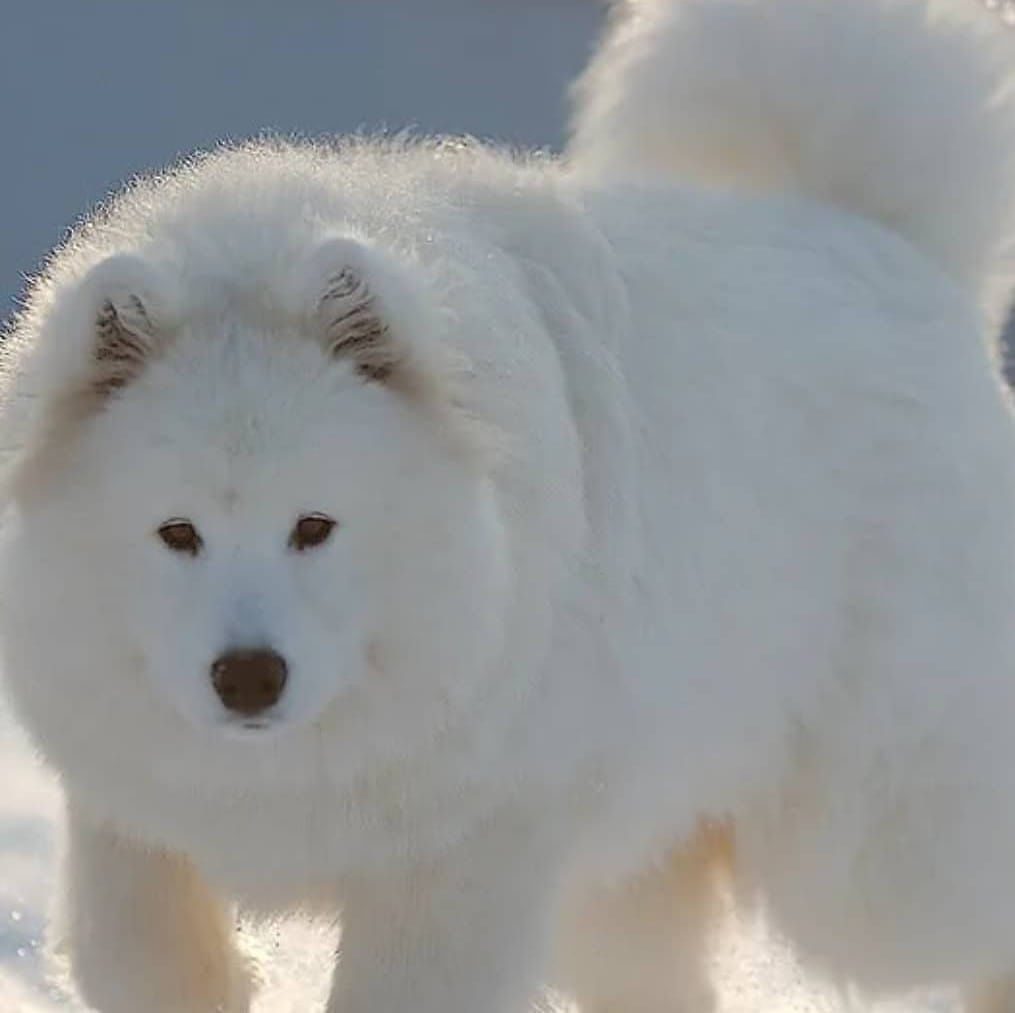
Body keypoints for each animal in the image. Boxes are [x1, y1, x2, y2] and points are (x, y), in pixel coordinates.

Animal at [1, 1, 1015, 1013]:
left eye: (313, 526)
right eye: (177, 532)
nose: (248, 675)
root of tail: (881, 236)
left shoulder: (459, 854)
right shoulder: (127, 801)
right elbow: (136, 949)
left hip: (868, 851)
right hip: (630, 867)